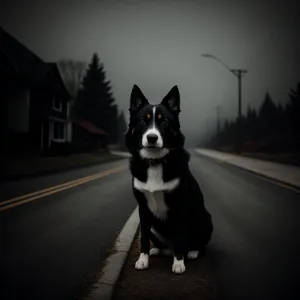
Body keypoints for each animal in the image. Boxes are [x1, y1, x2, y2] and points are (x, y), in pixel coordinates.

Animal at [124, 84, 213, 274]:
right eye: (143, 121)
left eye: (164, 122)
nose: (152, 138)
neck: (155, 161)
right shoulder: (143, 208)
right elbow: (143, 238)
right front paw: (143, 260)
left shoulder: (179, 206)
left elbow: (180, 238)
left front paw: (178, 263)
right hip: (154, 226)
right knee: (163, 245)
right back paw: (158, 250)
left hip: (204, 220)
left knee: (198, 244)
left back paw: (192, 252)